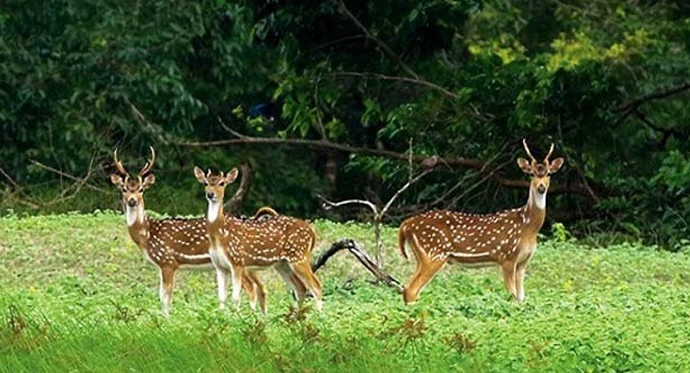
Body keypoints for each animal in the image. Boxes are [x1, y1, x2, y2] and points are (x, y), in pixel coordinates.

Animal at [109, 147, 268, 316]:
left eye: (141, 189)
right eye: (124, 189)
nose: (132, 200)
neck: (147, 234)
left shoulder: (168, 261)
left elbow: (165, 296)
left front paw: (166, 318)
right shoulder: (161, 265)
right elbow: (161, 295)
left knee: (251, 287)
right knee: (260, 287)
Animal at [194, 166, 322, 310]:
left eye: (222, 183)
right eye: (205, 183)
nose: (210, 194)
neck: (220, 234)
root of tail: (312, 231)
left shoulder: (237, 261)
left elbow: (236, 297)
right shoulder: (220, 265)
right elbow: (222, 298)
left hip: (299, 256)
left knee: (316, 286)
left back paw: (318, 313)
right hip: (283, 263)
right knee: (300, 288)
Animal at [396, 139, 560, 302]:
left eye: (549, 173)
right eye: (531, 174)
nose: (541, 187)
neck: (528, 227)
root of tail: (406, 224)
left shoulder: (523, 261)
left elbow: (521, 297)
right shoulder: (507, 256)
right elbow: (512, 296)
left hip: (424, 256)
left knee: (408, 289)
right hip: (434, 253)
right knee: (411, 290)